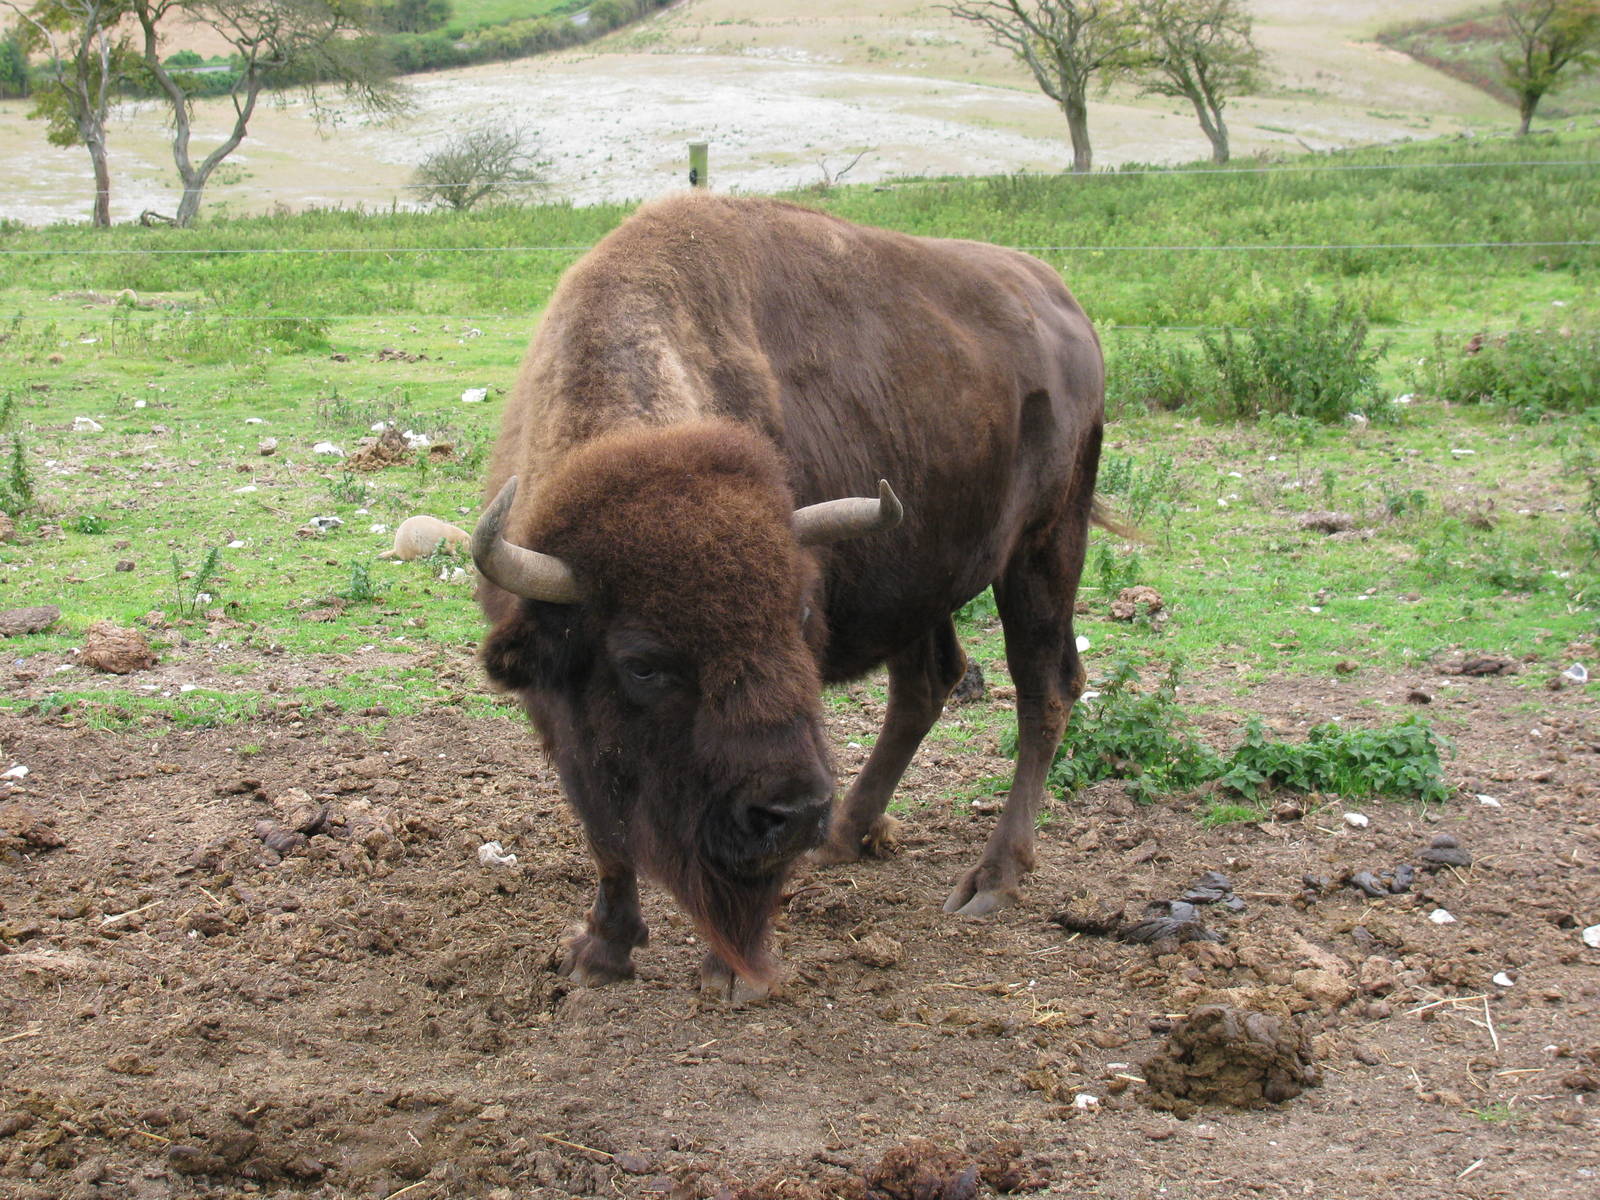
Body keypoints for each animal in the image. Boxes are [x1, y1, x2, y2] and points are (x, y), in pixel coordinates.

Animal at [475, 193, 1110, 997]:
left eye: (802, 619)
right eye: (642, 663)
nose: (797, 811)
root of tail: (1065, 304)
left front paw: (734, 973)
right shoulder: (556, 703)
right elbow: (605, 831)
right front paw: (601, 951)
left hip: (1044, 546)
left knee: (1043, 688)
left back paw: (990, 880)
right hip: (926, 578)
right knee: (927, 685)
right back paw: (844, 837)